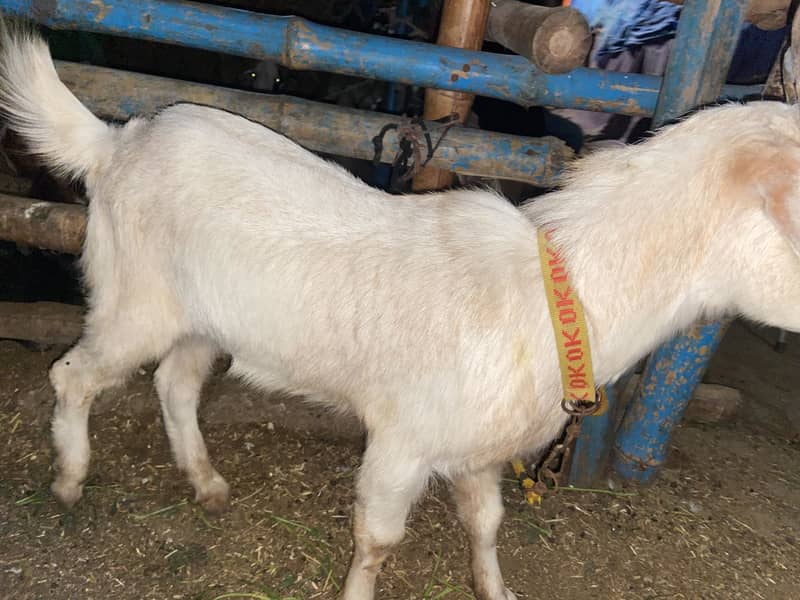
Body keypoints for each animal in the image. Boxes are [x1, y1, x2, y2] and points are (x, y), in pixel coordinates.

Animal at [2, 27, 800, 600]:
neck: (553, 298)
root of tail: (118, 141)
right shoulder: (402, 442)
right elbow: (379, 540)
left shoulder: (478, 451)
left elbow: (486, 524)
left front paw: (496, 590)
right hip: (134, 299)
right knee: (74, 374)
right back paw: (70, 478)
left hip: (202, 318)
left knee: (174, 384)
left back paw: (207, 484)